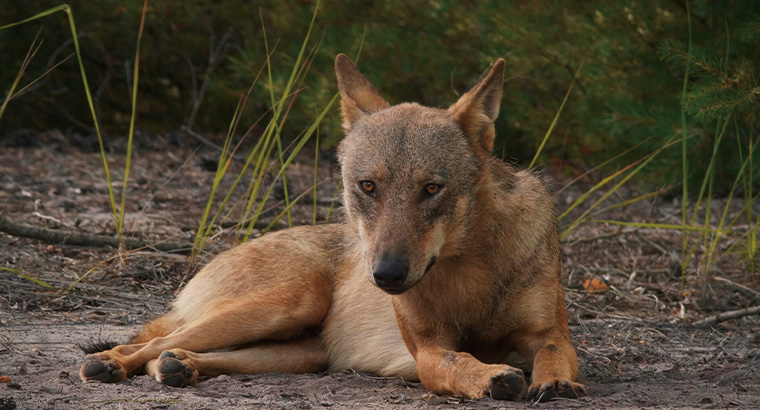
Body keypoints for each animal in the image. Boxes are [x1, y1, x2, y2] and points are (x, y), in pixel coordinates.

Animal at [80, 52, 584, 402]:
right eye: (368, 186)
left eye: (431, 188)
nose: (386, 275)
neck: (468, 270)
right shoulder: (426, 349)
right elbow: (455, 360)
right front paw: (491, 376)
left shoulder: (549, 333)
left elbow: (557, 353)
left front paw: (554, 383)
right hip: (289, 304)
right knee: (152, 343)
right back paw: (109, 364)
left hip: (301, 350)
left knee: (173, 352)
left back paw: (179, 367)